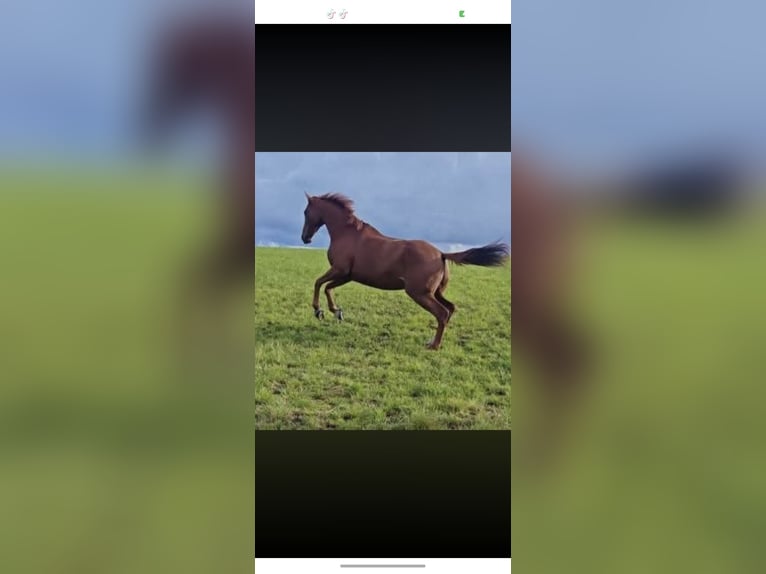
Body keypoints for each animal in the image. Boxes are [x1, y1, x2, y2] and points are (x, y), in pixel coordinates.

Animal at [300, 193, 510, 350]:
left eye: (305, 212)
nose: (304, 238)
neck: (348, 234)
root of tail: (441, 254)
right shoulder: (347, 275)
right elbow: (328, 288)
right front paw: (336, 312)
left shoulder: (339, 270)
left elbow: (318, 283)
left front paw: (318, 311)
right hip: (435, 292)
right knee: (450, 308)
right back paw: (434, 342)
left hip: (419, 293)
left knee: (442, 313)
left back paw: (433, 346)